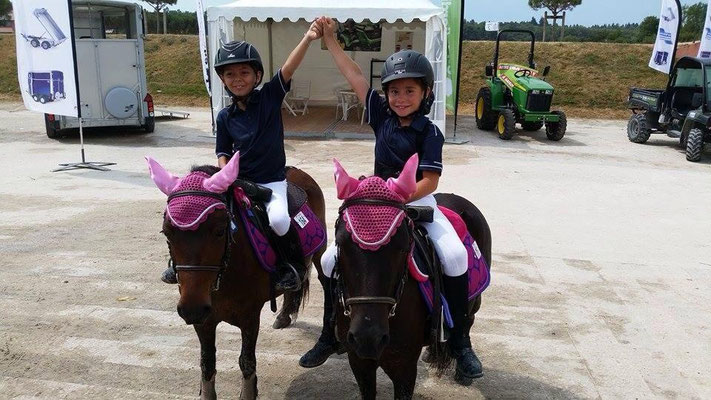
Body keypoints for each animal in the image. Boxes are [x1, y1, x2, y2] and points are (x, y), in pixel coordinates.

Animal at [150, 153, 328, 400]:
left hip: (321, 254)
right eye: (167, 232)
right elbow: (207, 364)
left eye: (219, 230)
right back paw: (283, 316)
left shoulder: (250, 317)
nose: (191, 309)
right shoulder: (204, 321)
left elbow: (246, 362)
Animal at [330, 155, 492, 398]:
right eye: (341, 242)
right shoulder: (358, 361)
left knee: (467, 318)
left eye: (403, 247)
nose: (368, 337)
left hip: (475, 298)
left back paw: (466, 363)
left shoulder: (404, 367)